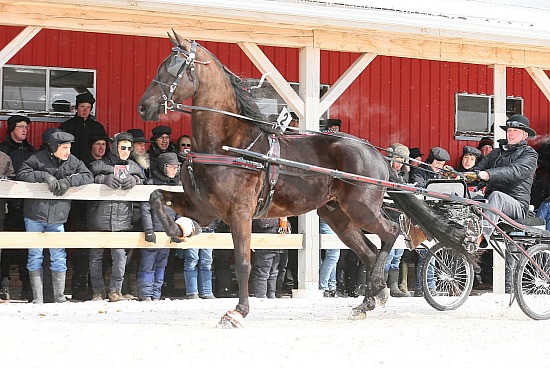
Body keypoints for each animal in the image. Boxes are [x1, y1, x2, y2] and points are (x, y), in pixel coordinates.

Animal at [139, 31, 466, 324]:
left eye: (172, 67)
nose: (144, 106)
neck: (227, 143)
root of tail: (373, 151)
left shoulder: (239, 212)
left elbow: (243, 262)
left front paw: (237, 312)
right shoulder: (204, 209)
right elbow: (155, 196)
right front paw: (176, 229)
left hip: (361, 207)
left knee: (389, 233)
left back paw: (375, 291)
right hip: (336, 215)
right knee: (369, 250)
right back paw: (369, 299)